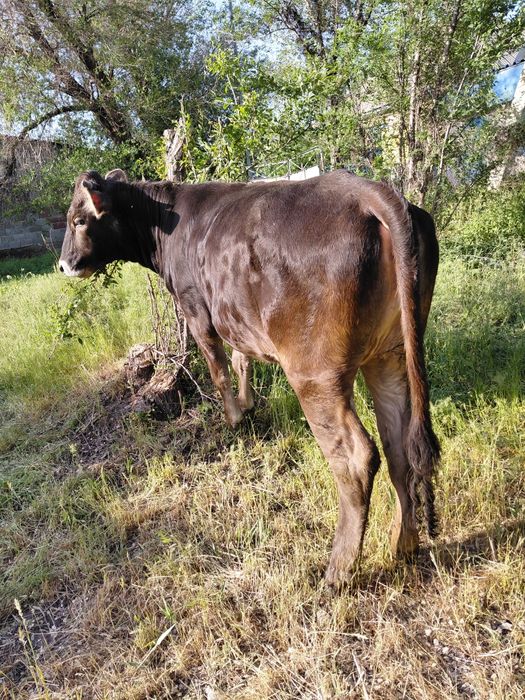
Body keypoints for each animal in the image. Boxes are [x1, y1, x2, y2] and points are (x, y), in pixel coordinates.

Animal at [59, 168, 440, 585]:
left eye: (78, 220)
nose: (63, 264)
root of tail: (363, 190)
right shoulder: (235, 314)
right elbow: (242, 359)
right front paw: (248, 404)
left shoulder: (196, 309)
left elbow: (218, 368)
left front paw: (233, 417)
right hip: (391, 354)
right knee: (399, 443)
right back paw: (403, 543)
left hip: (315, 373)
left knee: (356, 458)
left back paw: (337, 571)